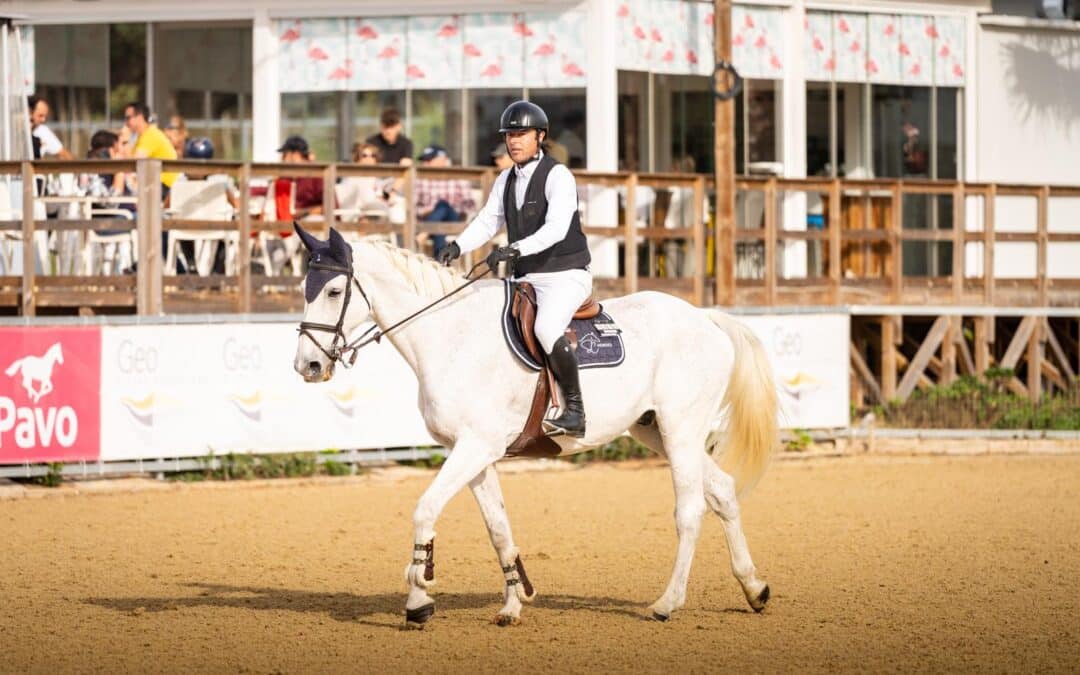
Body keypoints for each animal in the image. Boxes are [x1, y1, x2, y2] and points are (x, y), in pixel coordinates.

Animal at [291, 226, 781, 626]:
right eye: (304, 288)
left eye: (334, 290)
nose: (308, 365)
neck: (451, 337)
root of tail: (705, 317)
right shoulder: (475, 453)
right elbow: (498, 528)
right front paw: (512, 604)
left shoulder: (474, 447)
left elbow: (425, 509)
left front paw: (418, 599)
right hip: (654, 429)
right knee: (722, 490)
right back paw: (754, 588)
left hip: (681, 429)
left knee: (690, 509)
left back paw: (667, 603)